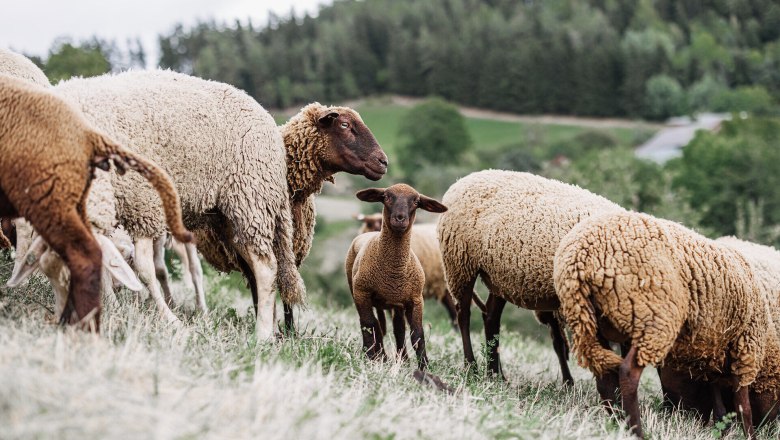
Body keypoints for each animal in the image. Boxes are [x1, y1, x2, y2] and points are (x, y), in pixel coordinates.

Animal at [345, 184, 447, 369]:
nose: (400, 219)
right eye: (386, 197)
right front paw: (370, 357)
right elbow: (369, 325)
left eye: (416, 201)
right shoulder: (362, 293)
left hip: (396, 303)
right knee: (373, 325)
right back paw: (378, 355)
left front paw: (424, 367)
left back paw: (402, 359)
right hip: (359, 292)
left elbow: (417, 335)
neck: (394, 270)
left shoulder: (415, 299)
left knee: (397, 329)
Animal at [437, 170, 624, 382]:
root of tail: (461, 181)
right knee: (463, 315)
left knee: (491, 316)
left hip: (498, 277)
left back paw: (496, 375)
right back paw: (472, 367)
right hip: (460, 263)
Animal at [553, 211, 767, 438]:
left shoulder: (712, 353)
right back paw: (636, 431)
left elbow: (719, 402)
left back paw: (615, 423)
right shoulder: (745, 347)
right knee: (627, 372)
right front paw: (749, 435)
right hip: (654, 318)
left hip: (590, 323)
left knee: (605, 379)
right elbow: (743, 405)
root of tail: (581, 257)